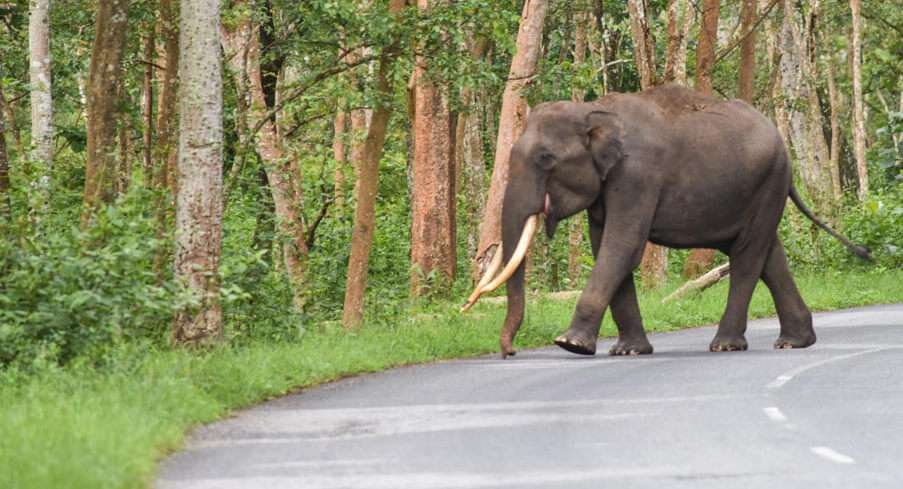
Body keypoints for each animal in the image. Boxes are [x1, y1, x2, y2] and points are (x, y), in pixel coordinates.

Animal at [462, 84, 869, 358]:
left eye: (546, 158)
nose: (509, 352)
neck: (593, 110)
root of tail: (781, 141)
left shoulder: (638, 175)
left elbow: (623, 246)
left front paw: (570, 344)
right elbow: (606, 246)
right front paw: (628, 351)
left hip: (770, 181)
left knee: (747, 256)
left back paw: (725, 345)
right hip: (758, 189)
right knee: (769, 254)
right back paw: (794, 342)